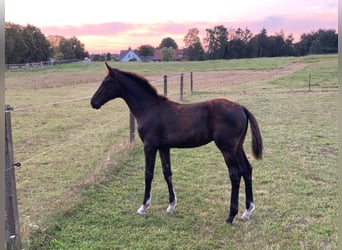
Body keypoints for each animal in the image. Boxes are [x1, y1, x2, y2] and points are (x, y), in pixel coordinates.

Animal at [90, 63, 262, 224]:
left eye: (106, 83)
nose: (93, 102)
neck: (150, 108)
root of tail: (241, 108)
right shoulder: (164, 147)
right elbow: (167, 173)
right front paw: (171, 205)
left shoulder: (149, 146)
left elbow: (148, 174)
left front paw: (143, 207)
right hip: (237, 147)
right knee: (247, 170)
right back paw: (247, 211)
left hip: (227, 149)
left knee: (235, 174)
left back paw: (231, 215)